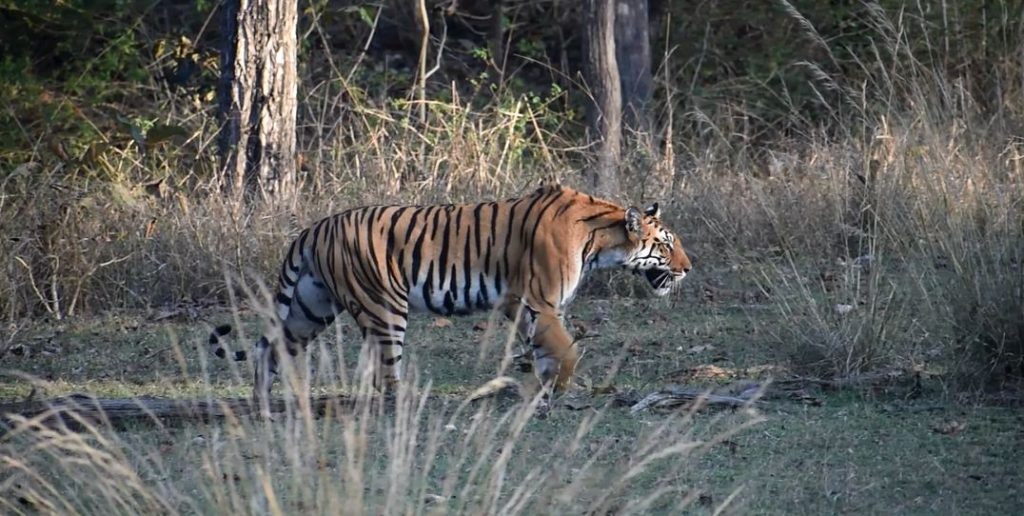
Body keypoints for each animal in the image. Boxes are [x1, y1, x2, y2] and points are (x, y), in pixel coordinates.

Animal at [207, 183, 692, 413]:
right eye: (666, 244)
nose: (688, 267)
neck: (601, 242)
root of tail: (313, 229)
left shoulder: (530, 307)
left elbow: (544, 352)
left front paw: (538, 391)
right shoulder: (535, 299)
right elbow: (568, 351)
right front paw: (558, 390)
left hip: (311, 306)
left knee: (267, 347)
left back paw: (264, 405)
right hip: (384, 307)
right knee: (385, 372)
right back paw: (407, 405)